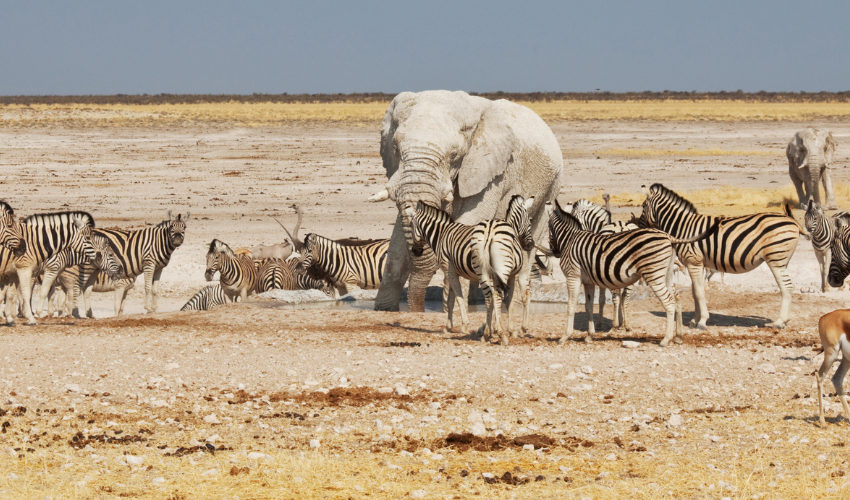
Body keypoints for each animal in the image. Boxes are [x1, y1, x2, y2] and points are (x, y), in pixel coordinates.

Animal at [366, 88, 560, 310]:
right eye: (396, 148)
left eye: (454, 155)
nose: (418, 311)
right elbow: (398, 239)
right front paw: (385, 310)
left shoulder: (493, 173)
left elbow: (471, 217)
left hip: (552, 185)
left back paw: (512, 307)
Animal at [548, 199, 716, 348]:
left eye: (548, 228)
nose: (554, 252)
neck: (569, 239)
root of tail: (668, 236)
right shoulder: (588, 281)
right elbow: (588, 307)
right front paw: (590, 336)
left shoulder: (573, 277)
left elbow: (571, 306)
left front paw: (565, 336)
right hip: (666, 274)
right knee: (676, 298)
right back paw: (679, 337)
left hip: (653, 275)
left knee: (669, 302)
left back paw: (665, 339)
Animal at [640, 184, 804, 332]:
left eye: (643, 207)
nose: (639, 228)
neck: (683, 227)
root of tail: (793, 221)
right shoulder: (696, 264)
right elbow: (694, 292)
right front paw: (694, 320)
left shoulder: (694, 261)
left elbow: (699, 292)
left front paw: (702, 321)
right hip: (783, 261)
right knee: (789, 286)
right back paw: (785, 321)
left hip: (776, 259)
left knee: (786, 286)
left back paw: (779, 321)